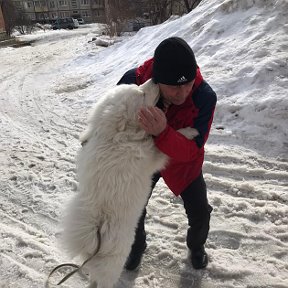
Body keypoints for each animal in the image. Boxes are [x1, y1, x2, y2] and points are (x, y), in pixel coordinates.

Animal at [61, 79, 198, 288]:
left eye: (138, 85)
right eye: (141, 94)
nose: (155, 79)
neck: (116, 137)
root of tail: (96, 233)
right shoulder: (152, 157)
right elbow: (166, 143)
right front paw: (189, 131)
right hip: (115, 262)